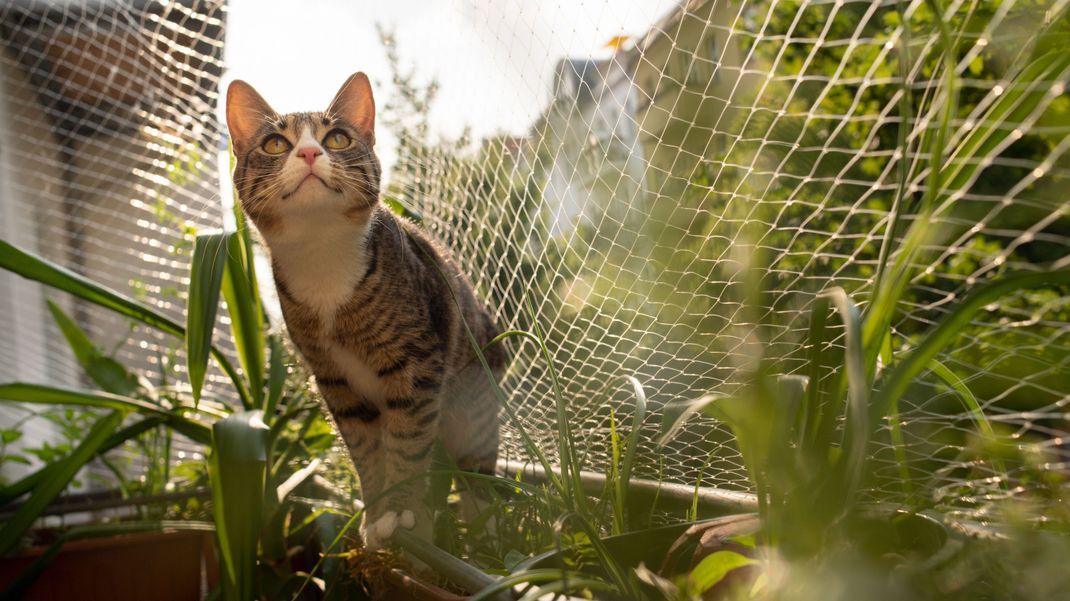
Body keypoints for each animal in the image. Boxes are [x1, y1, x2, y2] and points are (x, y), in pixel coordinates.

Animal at [222, 70, 505, 547]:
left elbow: (407, 441)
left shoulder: (416, 363)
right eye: (275, 144)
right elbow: (365, 451)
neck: (323, 260)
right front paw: (376, 515)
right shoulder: (335, 383)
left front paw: (404, 511)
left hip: (475, 401)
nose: (309, 151)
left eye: (337, 138)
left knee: (476, 478)